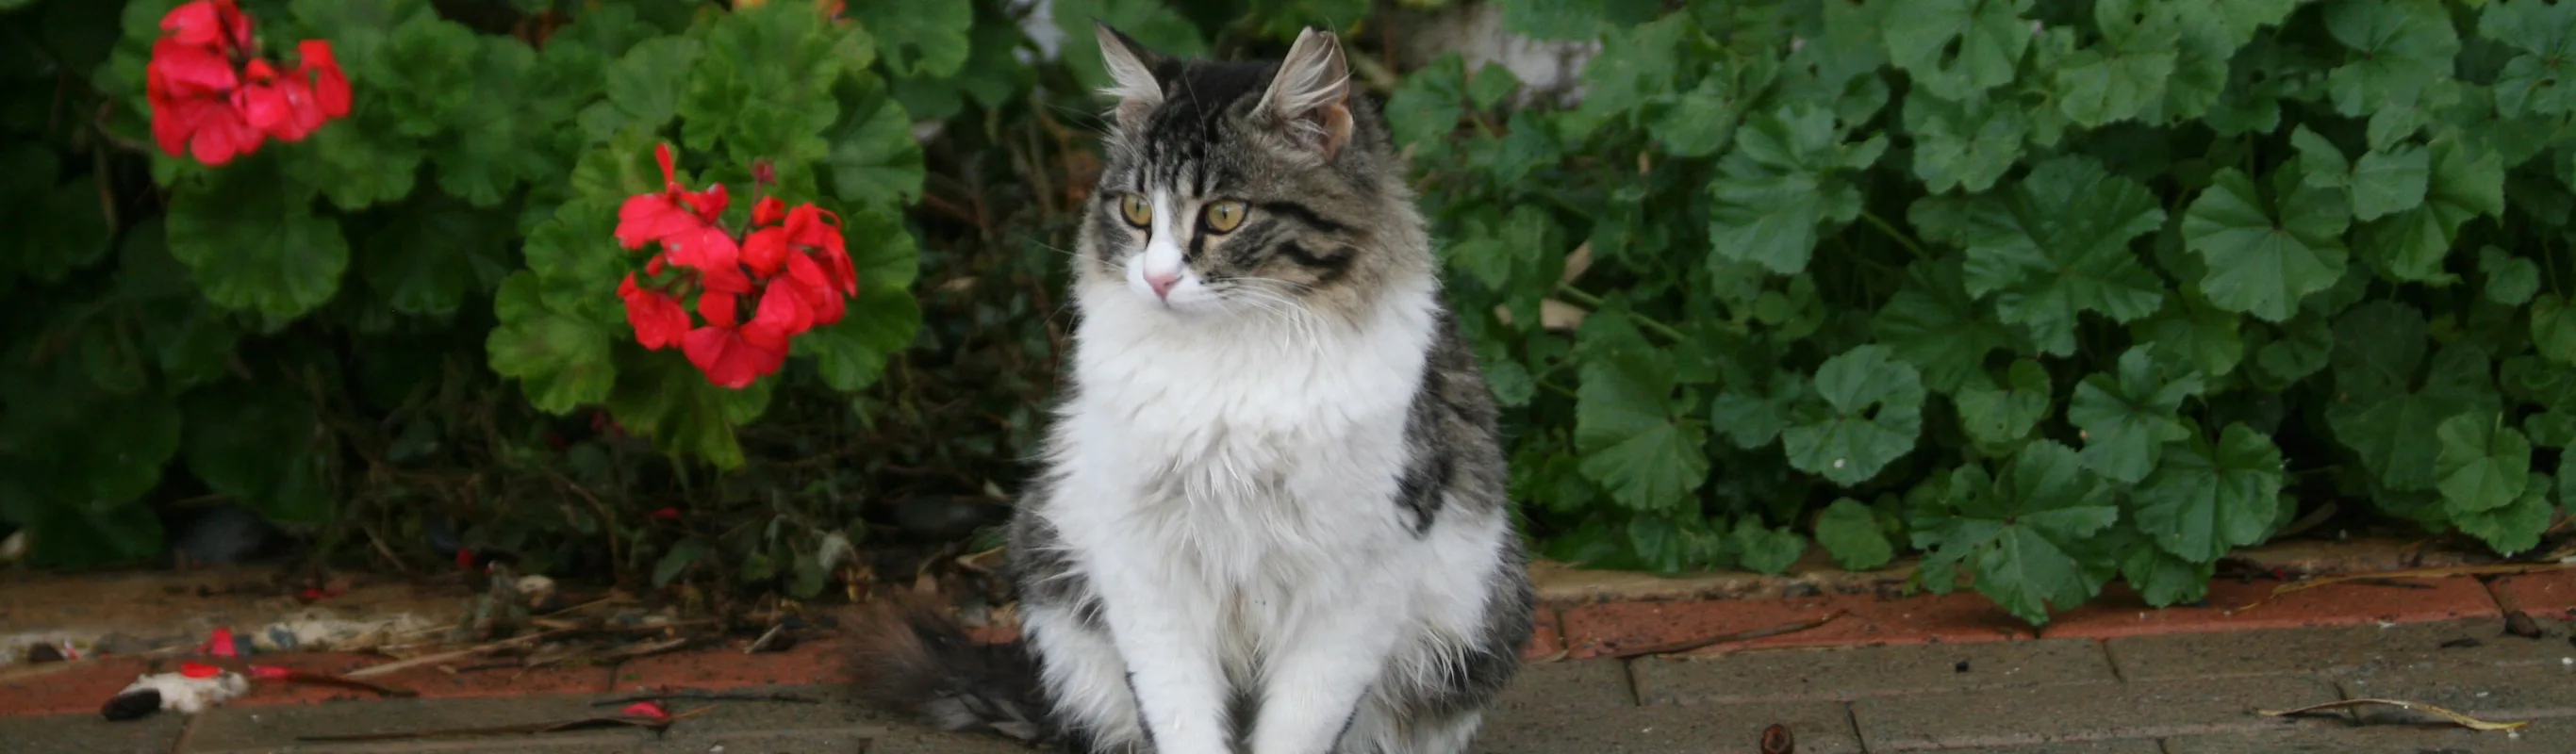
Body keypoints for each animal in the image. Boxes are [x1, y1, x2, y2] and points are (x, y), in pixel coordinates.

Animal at [845, 20, 1535, 746]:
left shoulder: (1363, 568)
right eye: (1136, 209)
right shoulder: (1143, 562)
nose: (1157, 278)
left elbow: (1299, 724)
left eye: (1225, 215)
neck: (1228, 368)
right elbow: (1178, 715)